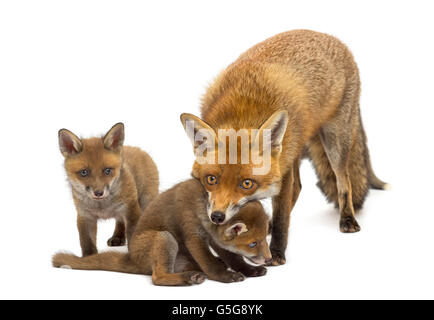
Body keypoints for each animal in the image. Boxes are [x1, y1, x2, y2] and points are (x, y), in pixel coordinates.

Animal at [180, 29, 386, 264]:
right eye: (211, 179)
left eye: (247, 183)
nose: (217, 217)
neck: (243, 112)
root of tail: (330, 37)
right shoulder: (283, 160)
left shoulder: (283, 170)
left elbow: (281, 217)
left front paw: (277, 253)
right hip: (293, 150)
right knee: (299, 187)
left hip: (334, 142)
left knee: (343, 182)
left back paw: (348, 219)